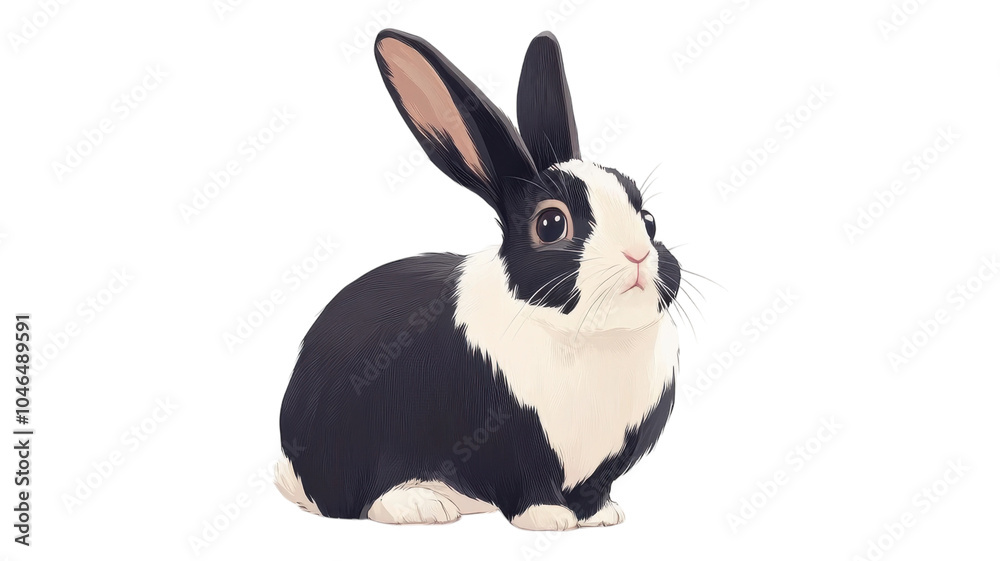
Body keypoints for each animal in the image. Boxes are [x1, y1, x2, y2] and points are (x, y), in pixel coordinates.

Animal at [276, 28, 681, 531]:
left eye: (648, 219)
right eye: (552, 224)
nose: (638, 255)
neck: (587, 336)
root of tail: (293, 469)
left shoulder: (607, 460)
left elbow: (596, 488)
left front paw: (603, 516)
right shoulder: (509, 443)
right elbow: (527, 484)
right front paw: (550, 518)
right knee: (358, 503)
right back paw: (422, 506)